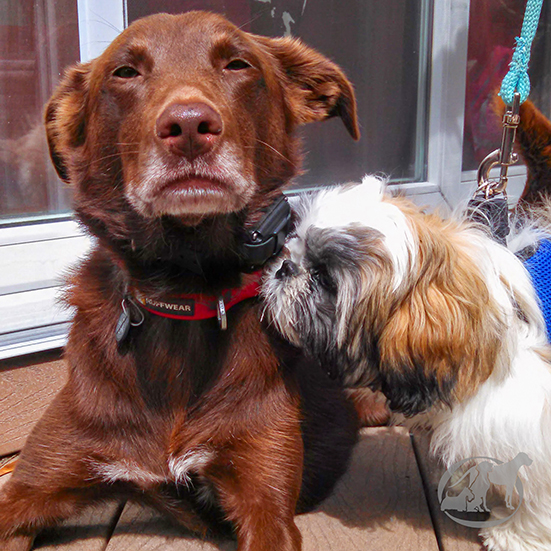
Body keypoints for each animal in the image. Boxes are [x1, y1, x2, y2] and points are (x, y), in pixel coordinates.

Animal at [0, 9, 362, 551]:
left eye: (238, 64)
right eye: (124, 72)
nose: (189, 126)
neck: (182, 291)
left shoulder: (265, 498)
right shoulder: (29, 489)